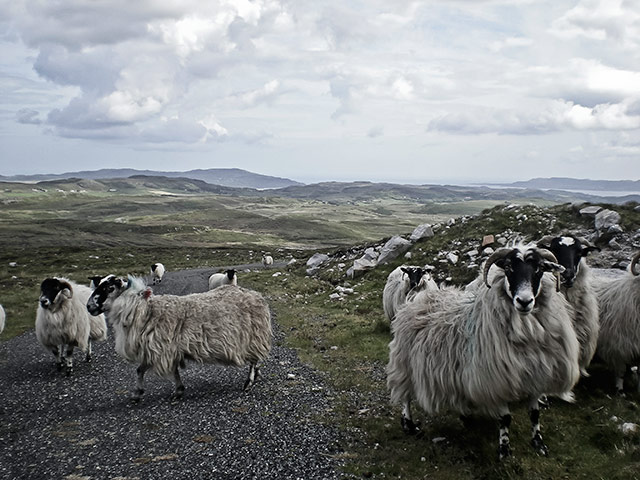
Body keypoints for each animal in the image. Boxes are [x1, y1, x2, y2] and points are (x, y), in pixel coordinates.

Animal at [86, 275, 272, 401]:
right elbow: (145, 370)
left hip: (253, 337)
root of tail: (256, 295)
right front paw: (173, 390)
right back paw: (256, 375)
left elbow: (151, 370)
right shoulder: (163, 349)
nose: (89, 307)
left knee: (253, 361)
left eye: (109, 288)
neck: (145, 311)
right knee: (256, 361)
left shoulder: (161, 348)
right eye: (99, 284)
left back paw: (248, 382)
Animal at [387, 244, 579, 459]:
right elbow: (505, 418)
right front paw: (504, 450)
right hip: (405, 362)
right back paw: (409, 424)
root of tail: (418, 298)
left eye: (539, 269)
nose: (524, 301)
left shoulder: (536, 375)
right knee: (405, 395)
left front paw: (538, 442)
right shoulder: (494, 380)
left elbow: (535, 414)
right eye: (509, 268)